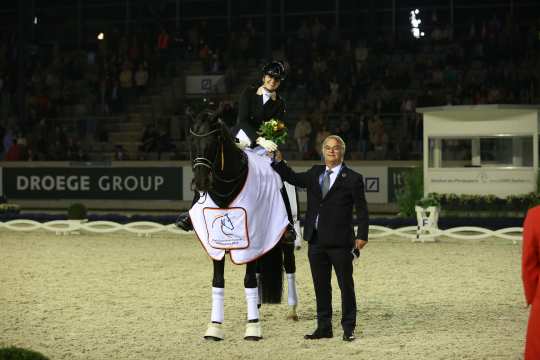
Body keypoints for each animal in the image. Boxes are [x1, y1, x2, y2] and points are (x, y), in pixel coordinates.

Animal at [185, 109, 296, 340]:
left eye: (213, 141)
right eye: (191, 141)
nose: (200, 183)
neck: (226, 187)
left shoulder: (251, 239)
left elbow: (249, 281)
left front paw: (253, 327)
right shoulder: (216, 243)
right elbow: (218, 281)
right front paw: (214, 327)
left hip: (285, 237)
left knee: (290, 267)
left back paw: (292, 311)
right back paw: (258, 305)